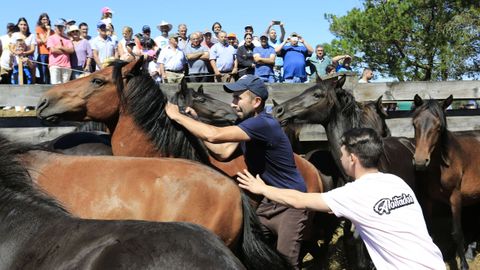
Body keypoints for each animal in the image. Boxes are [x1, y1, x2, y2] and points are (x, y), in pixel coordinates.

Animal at [412, 94, 480, 268]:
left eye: (438, 127)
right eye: (415, 124)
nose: (420, 162)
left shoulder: (455, 197)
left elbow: (457, 232)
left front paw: (463, 265)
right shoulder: (427, 199)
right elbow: (428, 231)